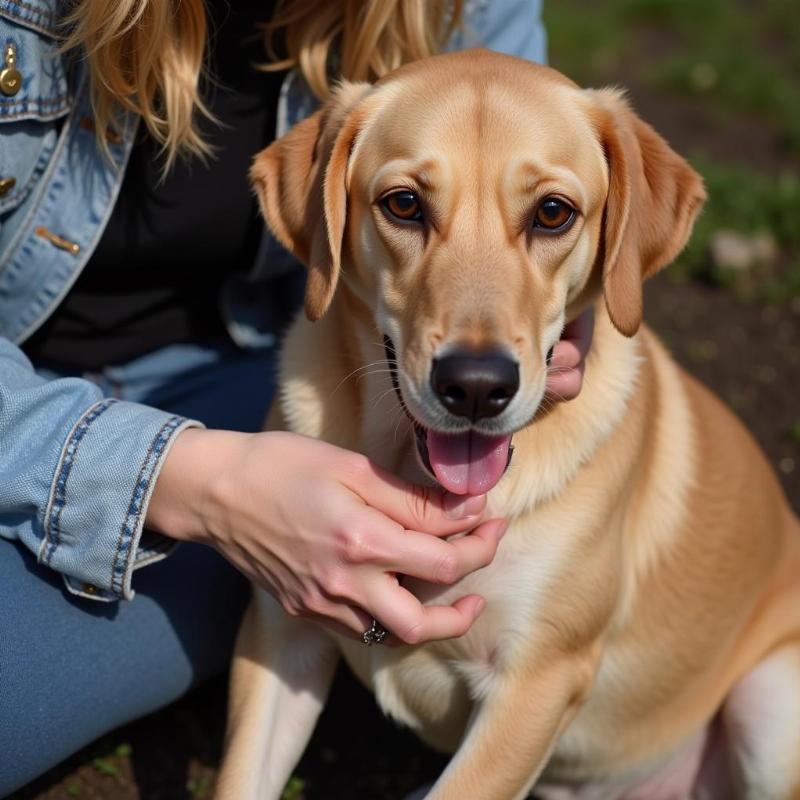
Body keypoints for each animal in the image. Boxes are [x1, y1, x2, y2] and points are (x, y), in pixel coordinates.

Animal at [216, 51, 800, 800]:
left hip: (770, 709)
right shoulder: (278, 635)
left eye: (553, 213)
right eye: (403, 203)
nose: (475, 386)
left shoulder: (536, 680)